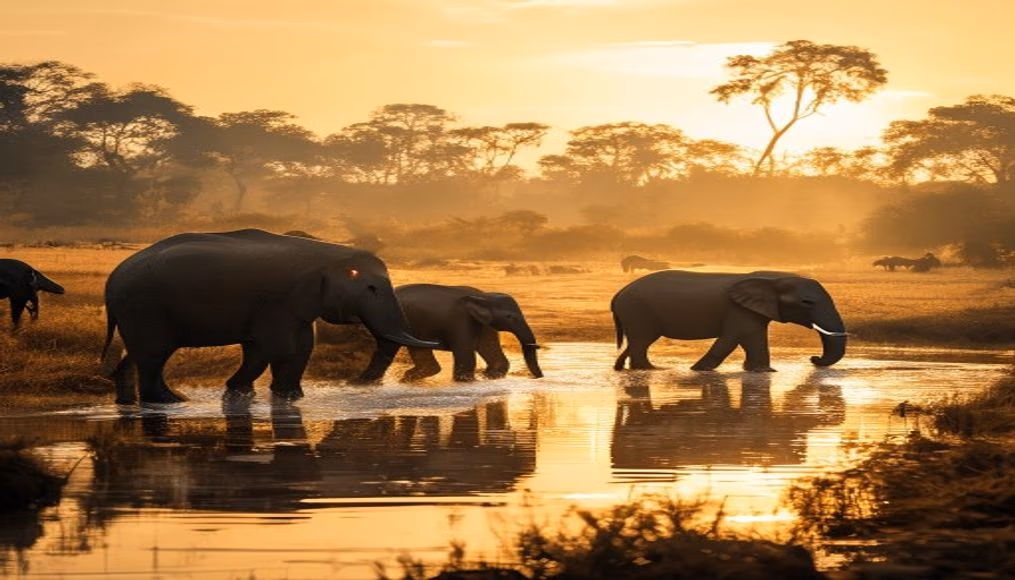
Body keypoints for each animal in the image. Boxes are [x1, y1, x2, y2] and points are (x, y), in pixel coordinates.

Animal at [102, 229, 438, 405]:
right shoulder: (277, 300)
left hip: (135, 310)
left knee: (138, 353)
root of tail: (113, 279)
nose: (357, 383)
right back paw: (171, 402)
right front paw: (242, 391)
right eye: (370, 288)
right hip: (144, 307)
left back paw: (129, 401)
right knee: (154, 354)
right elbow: (277, 347)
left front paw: (285, 397)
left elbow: (300, 346)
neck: (328, 252)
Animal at [360, 284, 543, 382]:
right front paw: (470, 381)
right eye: (509, 317)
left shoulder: (485, 324)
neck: (483, 296)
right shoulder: (460, 320)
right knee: (388, 347)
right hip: (388, 321)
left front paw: (488, 377)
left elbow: (493, 354)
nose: (539, 377)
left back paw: (406, 379)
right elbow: (467, 357)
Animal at [611, 270, 847, 372]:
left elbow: (754, 340)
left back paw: (622, 367)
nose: (813, 359)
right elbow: (731, 339)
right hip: (637, 311)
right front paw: (698, 371)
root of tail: (618, 294)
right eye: (806, 302)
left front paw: (762, 372)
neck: (773, 278)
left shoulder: (752, 311)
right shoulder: (739, 310)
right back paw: (650, 370)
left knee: (637, 341)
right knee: (642, 341)